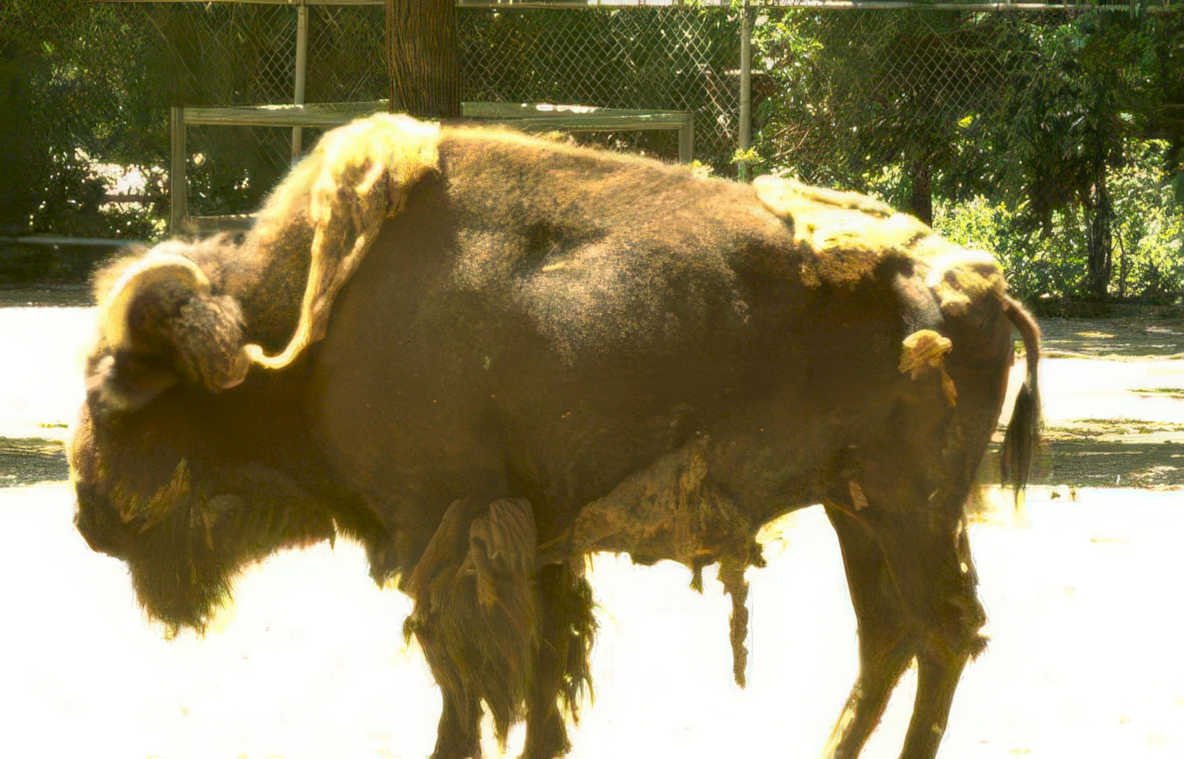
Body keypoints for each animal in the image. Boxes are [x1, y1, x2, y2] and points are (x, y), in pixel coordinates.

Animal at [70, 114, 1040, 759]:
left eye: (115, 393)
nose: (87, 518)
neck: (299, 329)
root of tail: (990, 293)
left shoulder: (442, 533)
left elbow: (467, 688)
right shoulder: (532, 543)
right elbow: (539, 680)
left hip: (909, 514)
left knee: (942, 631)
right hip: (858, 510)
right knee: (890, 636)